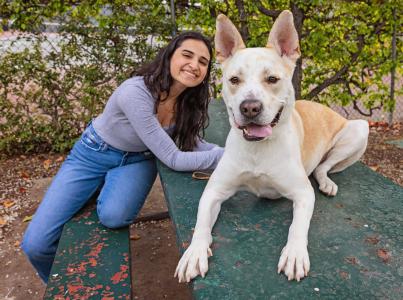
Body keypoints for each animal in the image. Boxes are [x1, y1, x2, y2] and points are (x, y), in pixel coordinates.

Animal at [174, 9, 370, 282]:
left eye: (272, 79)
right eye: (234, 79)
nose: (250, 107)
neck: (258, 148)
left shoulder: (302, 193)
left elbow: (297, 226)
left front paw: (295, 253)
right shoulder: (213, 191)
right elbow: (201, 224)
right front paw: (194, 253)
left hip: (359, 129)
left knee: (323, 167)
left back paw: (326, 182)